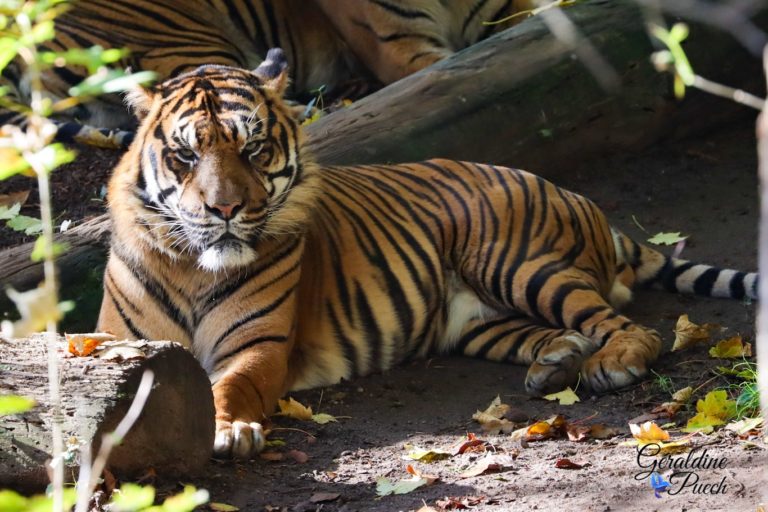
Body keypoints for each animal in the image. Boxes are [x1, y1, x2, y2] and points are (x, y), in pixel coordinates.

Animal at [96, 51, 756, 460]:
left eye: (254, 149)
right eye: (186, 155)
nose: (225, 209)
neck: (191, 267)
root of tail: (572, 194)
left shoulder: (258, 345)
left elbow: (229, 386)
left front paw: (228, 429)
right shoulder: (115, 341)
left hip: (518, 265)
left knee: (630, 326)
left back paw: (608, 364)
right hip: (476, 321)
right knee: (558, 331)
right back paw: (556, 362)